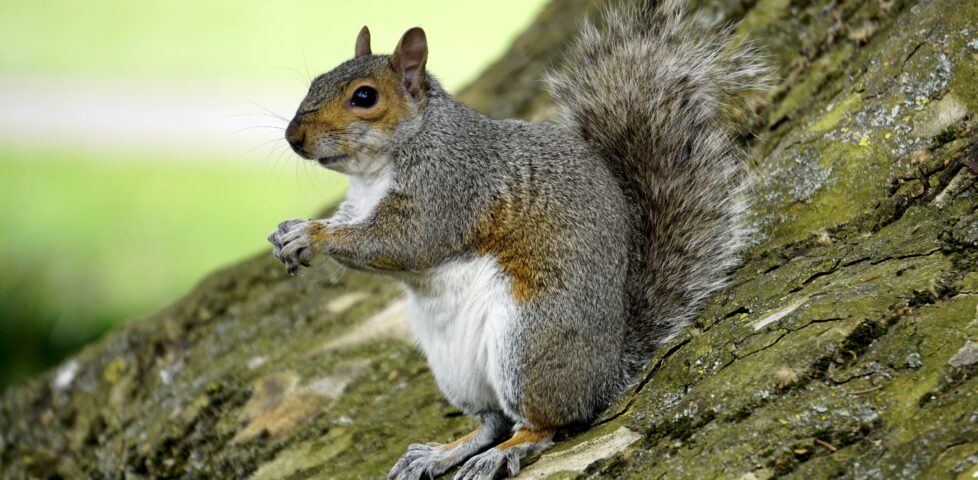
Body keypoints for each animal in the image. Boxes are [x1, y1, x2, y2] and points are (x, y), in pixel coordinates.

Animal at [268, 0, 768, 478]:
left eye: (364, 97)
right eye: (317, 81)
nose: (294, 136)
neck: (379, 167)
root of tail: (606, 373)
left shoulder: (448, 190)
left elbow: (403, 243)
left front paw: (312, 235)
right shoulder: (360, 204)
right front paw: (287, 231)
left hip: (528, 343)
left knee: (544, 423)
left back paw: (505, 452)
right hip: (456, 368)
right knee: (492, 421)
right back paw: (442, 453)